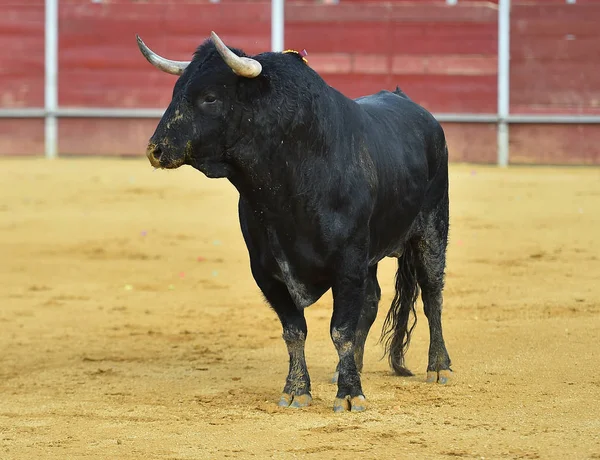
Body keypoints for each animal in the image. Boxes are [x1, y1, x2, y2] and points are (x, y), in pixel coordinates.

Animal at [137, 33, 450, 414]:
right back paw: (347, 369)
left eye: (210, 97)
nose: (156, 149)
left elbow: (340, 330)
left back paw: (438, 367)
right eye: (176, 91)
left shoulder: (347, 263)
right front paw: (297, 390)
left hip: (432, 227)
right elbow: (294, 330)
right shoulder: (267, 271)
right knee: (373, 300)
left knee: (432, 293)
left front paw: (350, 395)